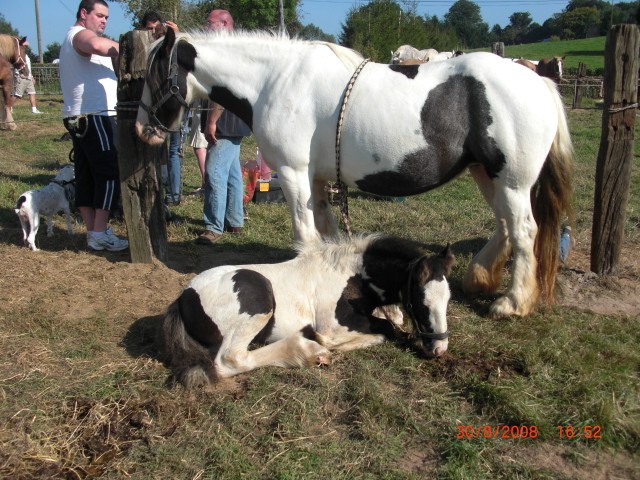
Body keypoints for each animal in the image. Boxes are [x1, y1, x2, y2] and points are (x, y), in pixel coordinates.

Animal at [134, 31, 568, 322]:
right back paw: (479, 278)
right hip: (486, 173)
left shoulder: (294, 174)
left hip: (511, 180)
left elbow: (305, 237)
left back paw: (511, 303)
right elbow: (327, 236)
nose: (142, 129)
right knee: (505, 225)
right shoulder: (316, 180)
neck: (275, 80)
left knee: (524, 230)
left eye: (156, 74)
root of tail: (537, 80)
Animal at [159, 234, 456, 388]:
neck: (352, 275)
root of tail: (183, 299)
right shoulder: (334, 323)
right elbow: (387, 330)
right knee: (230, 360)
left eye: (448, 298)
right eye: (421, 301)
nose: (439, 350)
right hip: (258, 296)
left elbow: (390, 323)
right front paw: (332, 344)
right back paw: (308, 350)